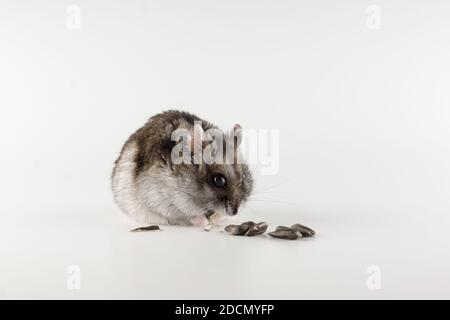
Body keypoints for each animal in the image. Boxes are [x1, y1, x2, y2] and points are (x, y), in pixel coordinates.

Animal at [111, 111, 253, 226]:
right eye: (219, 180)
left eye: (244, 176)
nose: (234, 212)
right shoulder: (162, 200)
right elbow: (188, 216)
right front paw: (205, 222)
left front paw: (214, 219)